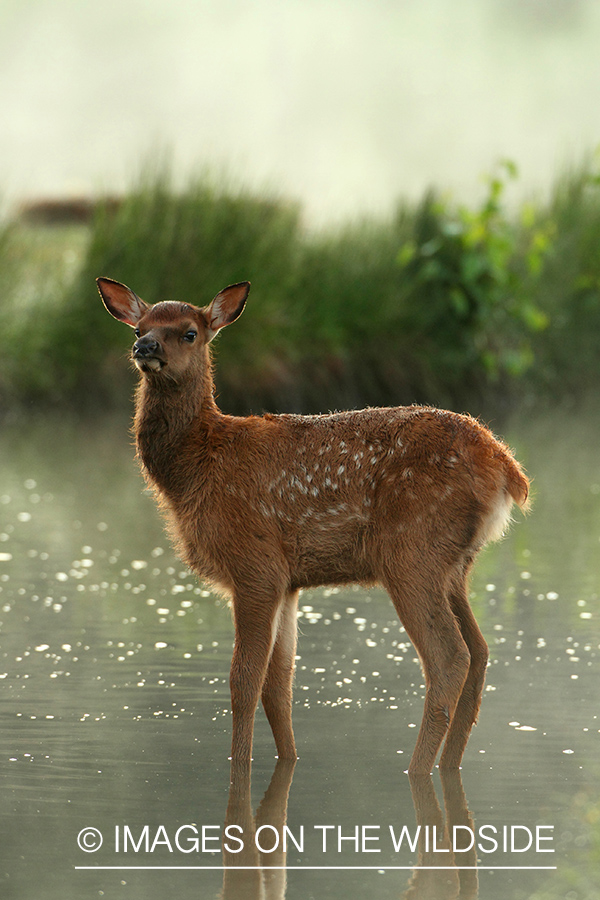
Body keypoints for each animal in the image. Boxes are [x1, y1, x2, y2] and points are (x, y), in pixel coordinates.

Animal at [97, 276, 529, 776]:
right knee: (479, 651)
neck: (198, 465)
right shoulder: (288, 582)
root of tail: (505, 467)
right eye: (139, 327)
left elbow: (243, 680)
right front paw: (289, 759)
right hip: (455, 565)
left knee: (450, 656)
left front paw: (238, 766)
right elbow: (278, 685)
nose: (145, 347)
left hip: (412, 550)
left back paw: (416, 767)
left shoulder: (255, 564)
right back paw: (447, 765)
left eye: (189, 332)